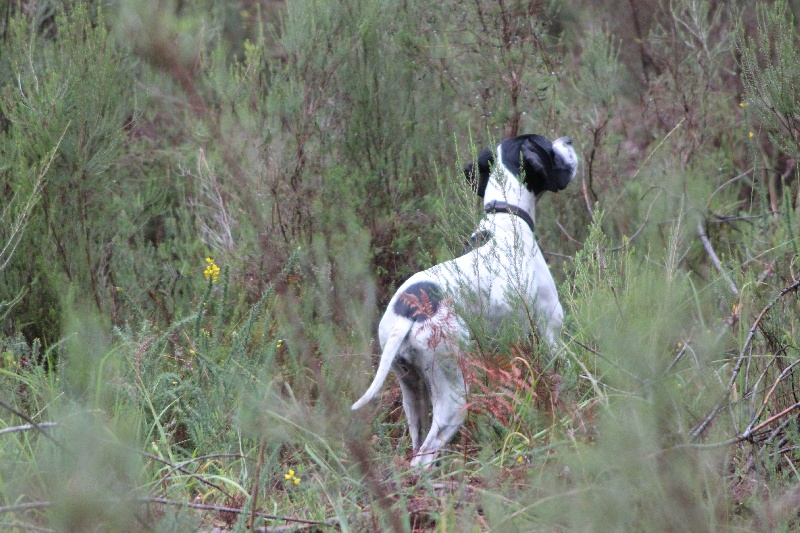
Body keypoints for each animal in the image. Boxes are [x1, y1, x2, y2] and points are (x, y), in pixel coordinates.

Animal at [352, 134, 578, 468]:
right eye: (548, 146)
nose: (567, 139)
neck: (505, 218)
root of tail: (407, 316)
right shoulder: (550, 336)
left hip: (412, 394)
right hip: (454, 396)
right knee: (423, 460)